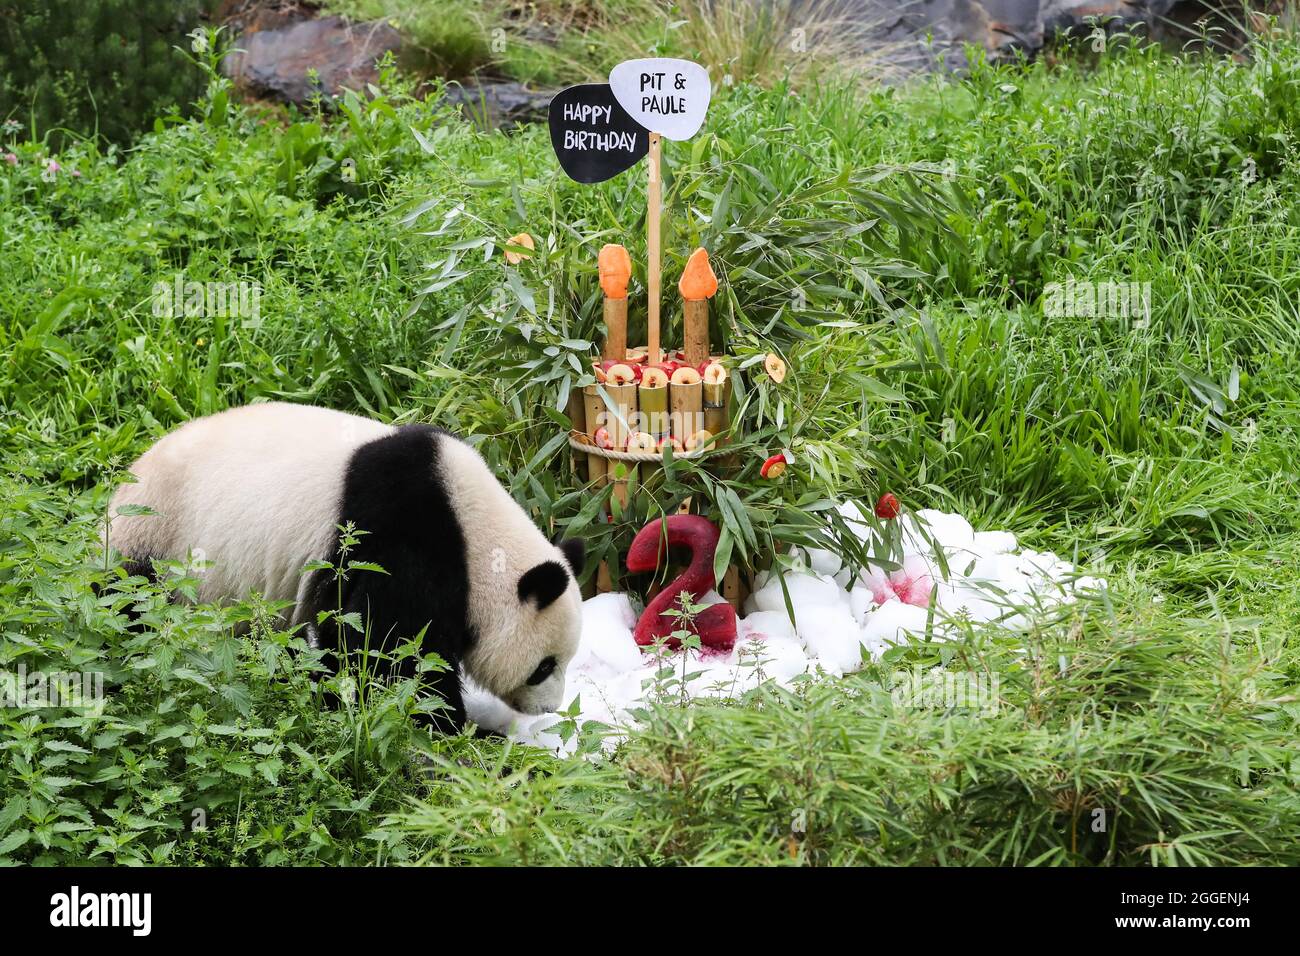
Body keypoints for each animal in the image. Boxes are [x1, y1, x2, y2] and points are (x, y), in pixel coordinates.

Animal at [105, 402, 585, 733]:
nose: (549, 708)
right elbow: (388, 652)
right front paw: (451, 728)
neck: (475, 533)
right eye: (545, 666)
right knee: (128, 609)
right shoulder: (403, 537)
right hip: (156, 539)